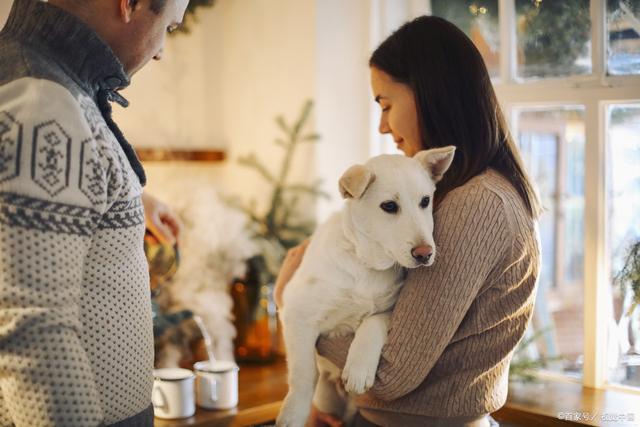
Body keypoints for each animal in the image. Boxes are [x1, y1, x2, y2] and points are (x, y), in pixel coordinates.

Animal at [278, 147, 458, 427]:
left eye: (425, 201)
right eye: (389, 206)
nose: (425, 254)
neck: (367, 264)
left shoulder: (389, 310)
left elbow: (372, 323)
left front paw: (359, 368)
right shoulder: (297, 313)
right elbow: (303, 373)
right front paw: (293, 414)